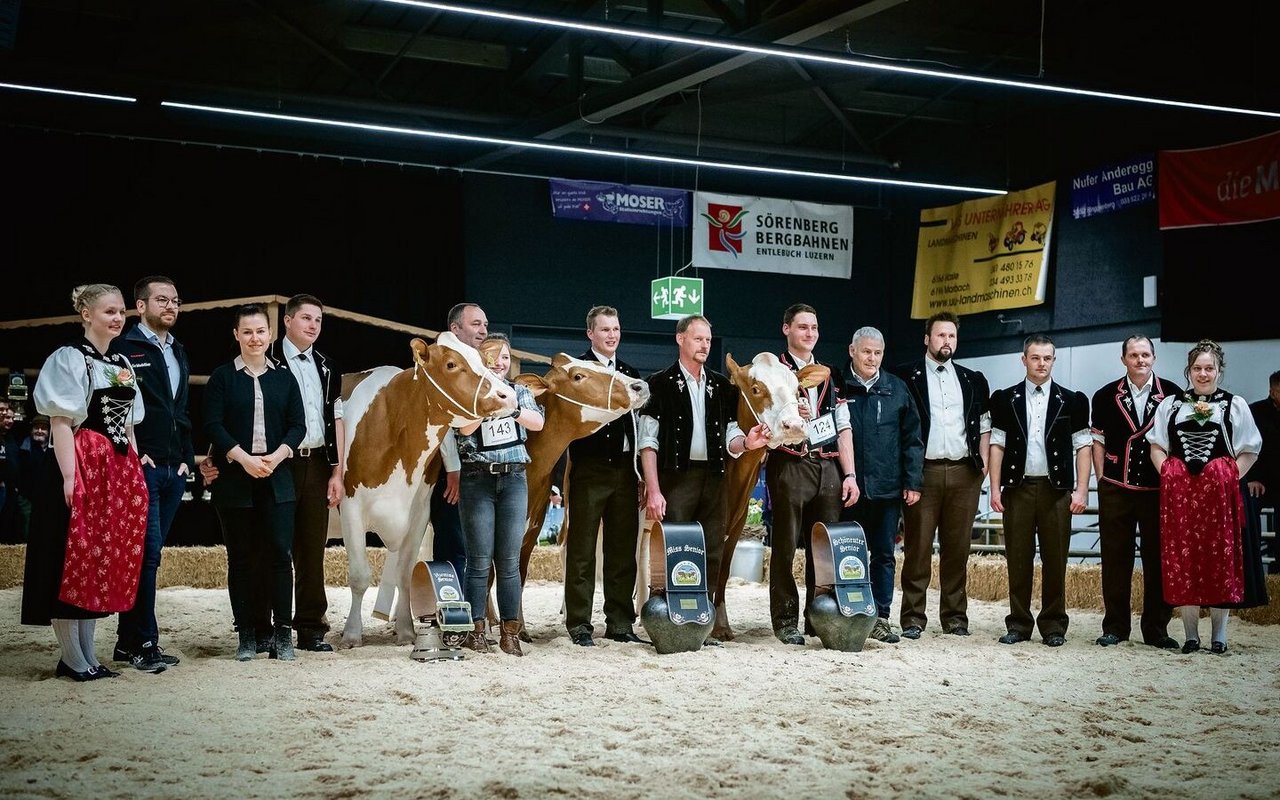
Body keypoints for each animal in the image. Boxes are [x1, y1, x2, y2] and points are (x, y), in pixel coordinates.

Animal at [345, 332, 519, 645]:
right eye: (451, 364)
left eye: (482, 359)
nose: (508, 395)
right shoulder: (350, 505)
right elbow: (360, 576)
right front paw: (352, 634)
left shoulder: (418, 514)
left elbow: (404, 575)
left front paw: (406, 630)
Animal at [716, 353, 834, 640]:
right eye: (756, 389)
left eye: (797, 390)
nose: (794, 425)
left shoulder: (736, 523)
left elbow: (722, 570)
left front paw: (721, 627)